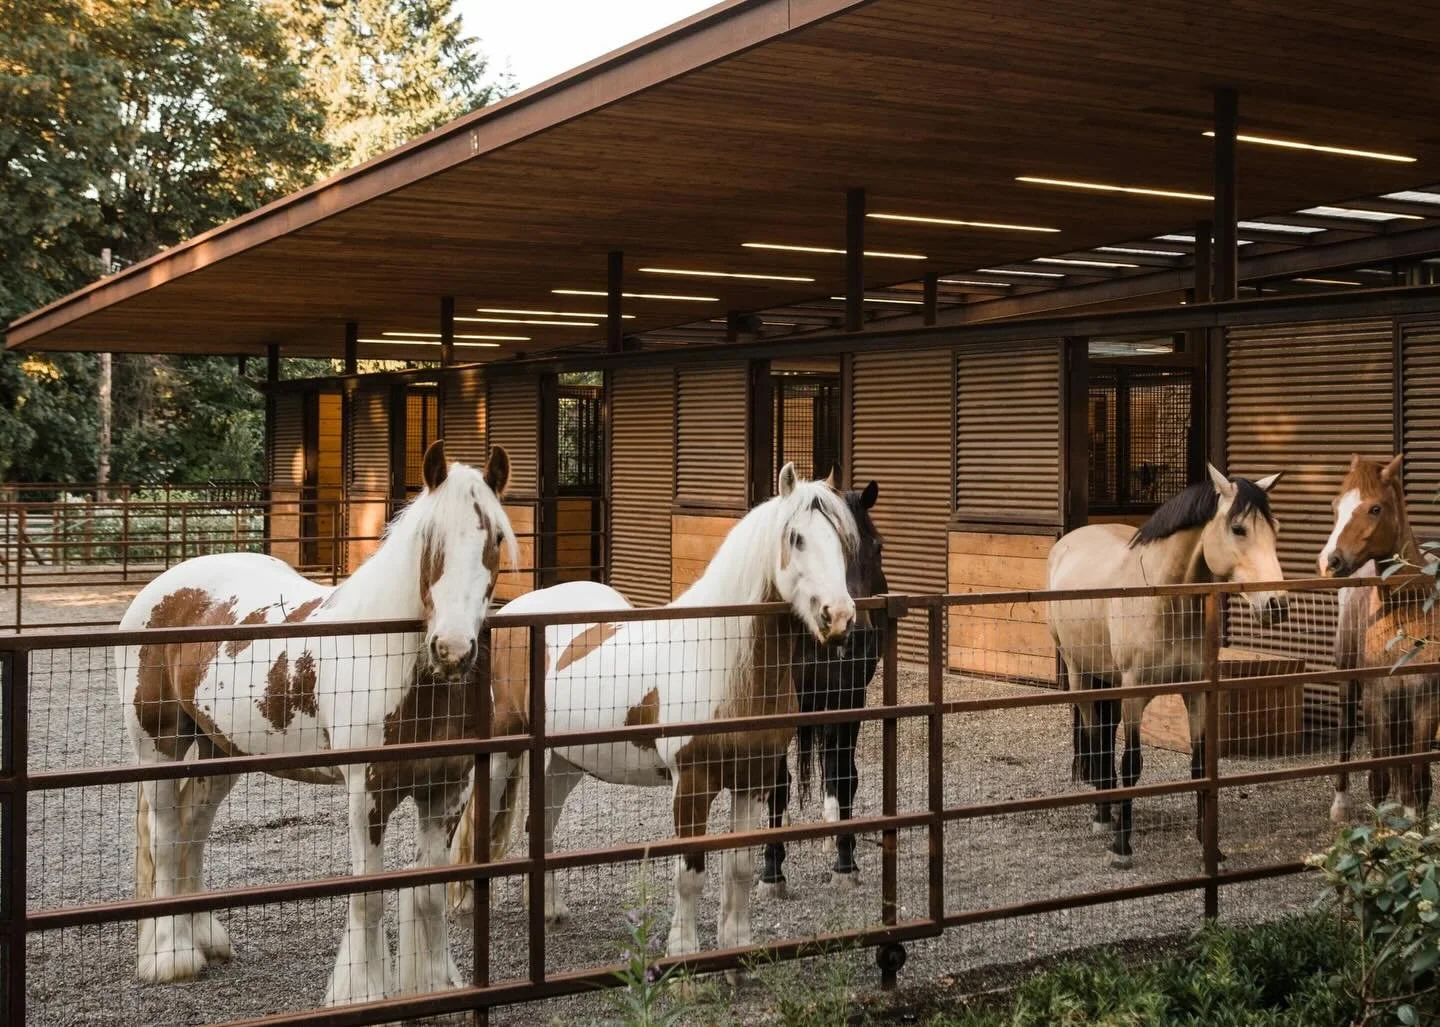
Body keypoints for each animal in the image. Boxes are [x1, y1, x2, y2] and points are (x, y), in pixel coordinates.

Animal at [117, 440, 514, 1006]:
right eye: (430, 539)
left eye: (496, 539)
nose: (453, 651)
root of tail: (165, 587)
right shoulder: (367, 794)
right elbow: (368, 897)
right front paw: (361, 994)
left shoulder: (447, 789)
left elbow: (431, 895)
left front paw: (436, 983)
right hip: (159, 747)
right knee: (168, 836)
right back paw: (172, 956)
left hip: (222, 750)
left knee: (193, 827)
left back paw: (207, 939)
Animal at [450, 463, 857, 955]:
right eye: (796, 537)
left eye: (844, 539)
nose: (840, 618)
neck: (722, 660)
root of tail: (515, 612)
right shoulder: (693, 783)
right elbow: (690, 872)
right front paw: (683, 952)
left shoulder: (754, 779)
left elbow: (740, 866)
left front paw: (736, 943)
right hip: (503, 750)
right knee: (476, 821)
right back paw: (462, 905)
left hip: (563, 761)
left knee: (540, 826)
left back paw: (550, 911)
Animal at [757, 479, 887, 897]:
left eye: (877, 548)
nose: (857, 634)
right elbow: (778, 784)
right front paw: (772, 870)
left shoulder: (848, 698)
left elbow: (844, 776)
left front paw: (845, 863)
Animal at [1046, 464, 1288, 867]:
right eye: (1238, 528)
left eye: (1276, 529)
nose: (1276, 605)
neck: (1164, 599)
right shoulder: (1134, 693)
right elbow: (1132, 763)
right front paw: (1122, 848)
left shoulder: (1197, 693)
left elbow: (1200, 765)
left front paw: (1209, 845)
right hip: (1079, 673)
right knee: (1095, 737)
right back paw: (1103, 815)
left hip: (1107, 679)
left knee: (1104, 733)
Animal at [1318, 453, 1440, 820]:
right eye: (1335, 505)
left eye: (1375, 508)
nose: (1330, 561)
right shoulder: (1376, 697)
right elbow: (1378, 778)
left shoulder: (1425, 698)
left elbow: (1419, 775)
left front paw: (1415, 820)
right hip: (1348, 676)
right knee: (1345, 731)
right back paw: (1341, 805)